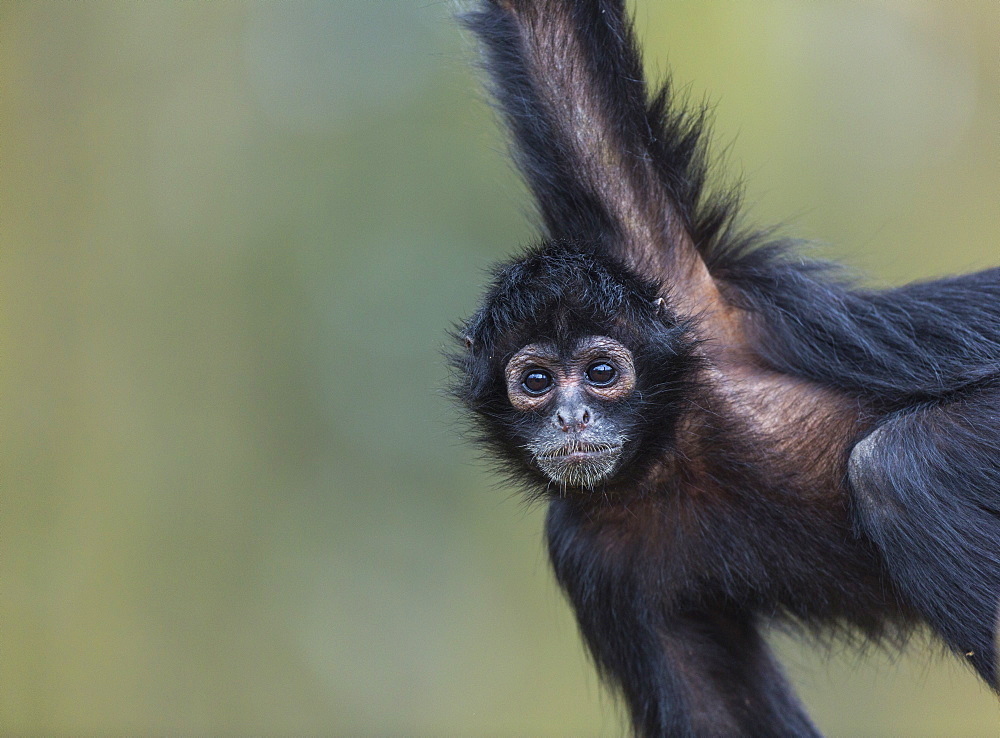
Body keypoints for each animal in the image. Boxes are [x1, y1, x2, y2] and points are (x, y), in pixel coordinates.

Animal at [452, 2, 1000, 732]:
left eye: (601, 373)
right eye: (536, 382)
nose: (572, 416)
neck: (670, 458)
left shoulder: (679, 284)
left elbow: (552, 34)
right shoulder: (588, 551)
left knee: (905, 466)